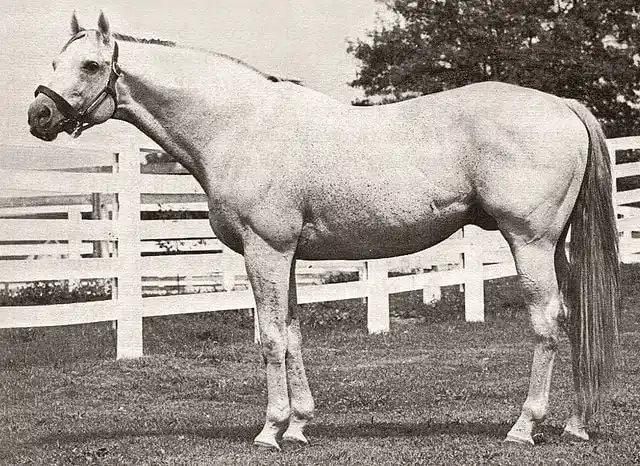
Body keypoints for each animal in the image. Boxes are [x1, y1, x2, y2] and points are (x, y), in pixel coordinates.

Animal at [28, 12, 619, 450]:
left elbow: (269, 338)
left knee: (547, 322)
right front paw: (298, 425)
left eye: (90, 64)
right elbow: (291, 334)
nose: (38, 116)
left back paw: (524, 426)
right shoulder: (284, 254)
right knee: (576, 315)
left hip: (530, 242)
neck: (238, 125)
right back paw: (576, 424)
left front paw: (270, 431)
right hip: (555, 245)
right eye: (55, 60)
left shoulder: (264, 251)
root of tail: (561, 104)